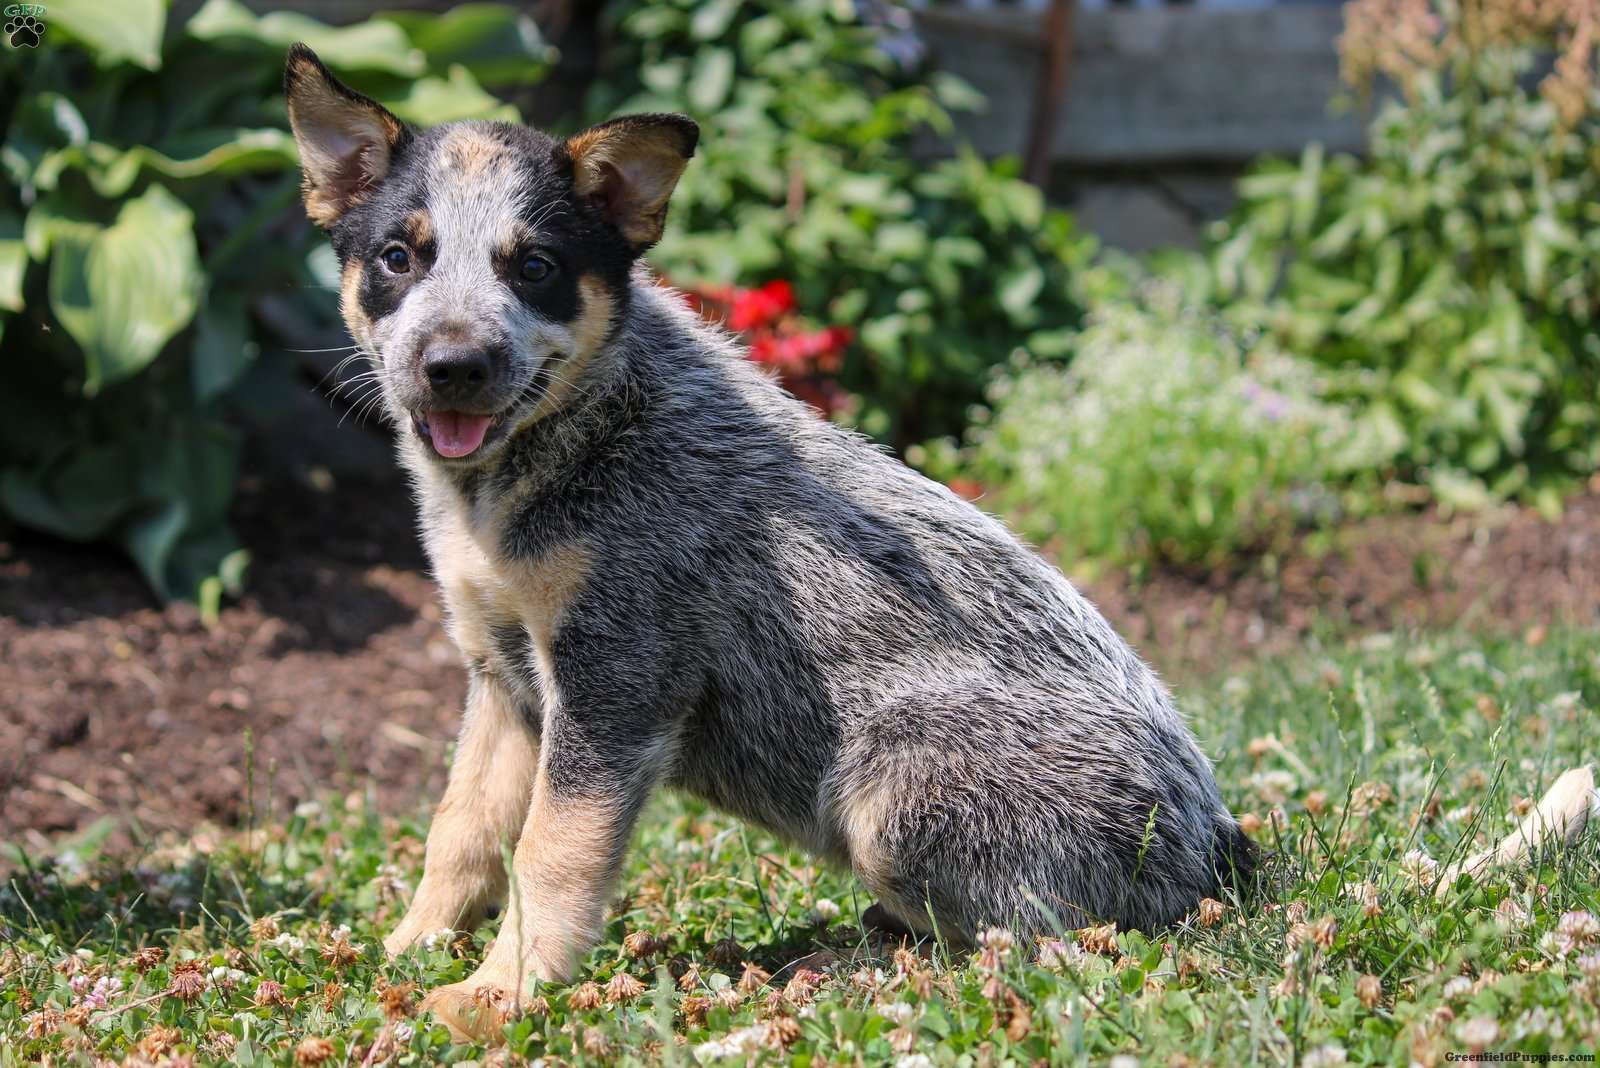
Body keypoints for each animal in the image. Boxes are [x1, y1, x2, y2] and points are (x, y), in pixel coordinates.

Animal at [291, 43, 1260, 1042]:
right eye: (398, 258)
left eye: (536, 266)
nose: (453, 367)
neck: (565, 449)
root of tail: (1219, 853)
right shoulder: (503, 679)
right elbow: (463, 829)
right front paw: (405, 952)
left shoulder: (618, 679)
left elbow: (552, 849)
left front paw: (499, 995)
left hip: (893, 789)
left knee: (1029, 939)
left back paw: (848, 969)